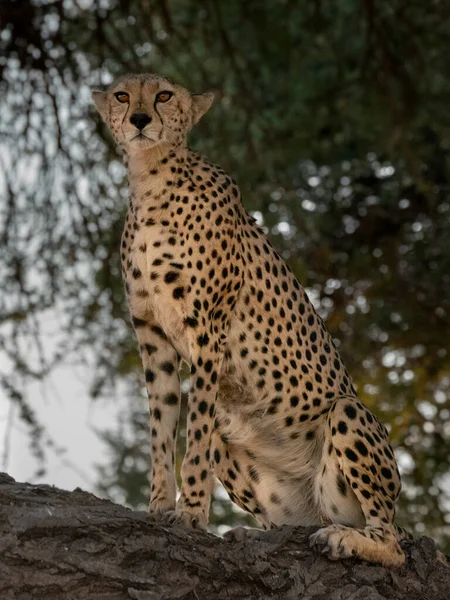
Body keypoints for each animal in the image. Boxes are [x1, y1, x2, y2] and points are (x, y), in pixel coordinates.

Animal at [93, 74, 406, 568]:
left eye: (164, 95)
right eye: (123, 95)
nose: (140, 119)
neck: (151, 181)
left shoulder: (206, 330)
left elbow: (195, 433)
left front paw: (191, 512)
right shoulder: (152, 337)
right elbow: (161, 426)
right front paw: (158, 505)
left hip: (347, 412)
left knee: (393, 542)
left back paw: (346, 540)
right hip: (252, 459)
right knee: (289, 522)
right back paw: (256, 535)